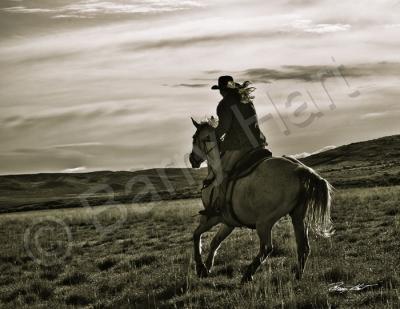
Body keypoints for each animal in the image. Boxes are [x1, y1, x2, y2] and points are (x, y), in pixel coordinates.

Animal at [189, 118, 332, 282]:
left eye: (194, 137)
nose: (192, 159)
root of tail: (299, 170)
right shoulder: (229, 222)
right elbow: (215, 242)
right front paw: (207, 267)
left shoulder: (211, 217)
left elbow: (196, 235)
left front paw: (200, 267)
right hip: (298, 216)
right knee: (303, 246)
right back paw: (297, 276)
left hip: (264, 222)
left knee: (267, 247)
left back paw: (247, 275)